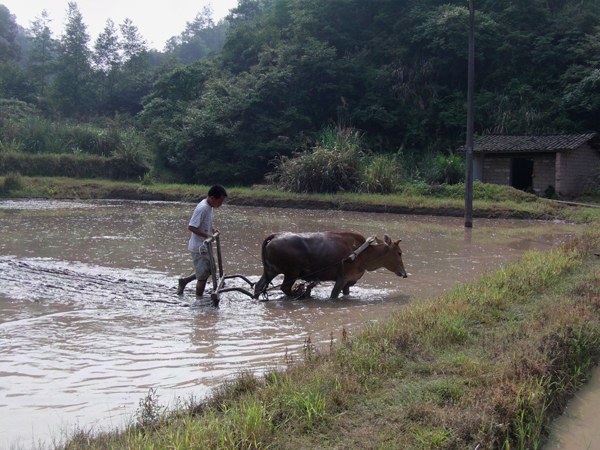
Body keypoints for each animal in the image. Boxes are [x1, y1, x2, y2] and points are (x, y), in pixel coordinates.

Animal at [253, 232, 408, 298]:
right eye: (399, 252)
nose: (404, 273)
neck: (364, 255)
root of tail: (274, 237)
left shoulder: (348, 282)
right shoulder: (342, 278)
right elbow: (333, 295)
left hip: (271, 270)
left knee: (258, 286)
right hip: (291, 272)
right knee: (285, 288)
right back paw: (301, 294)